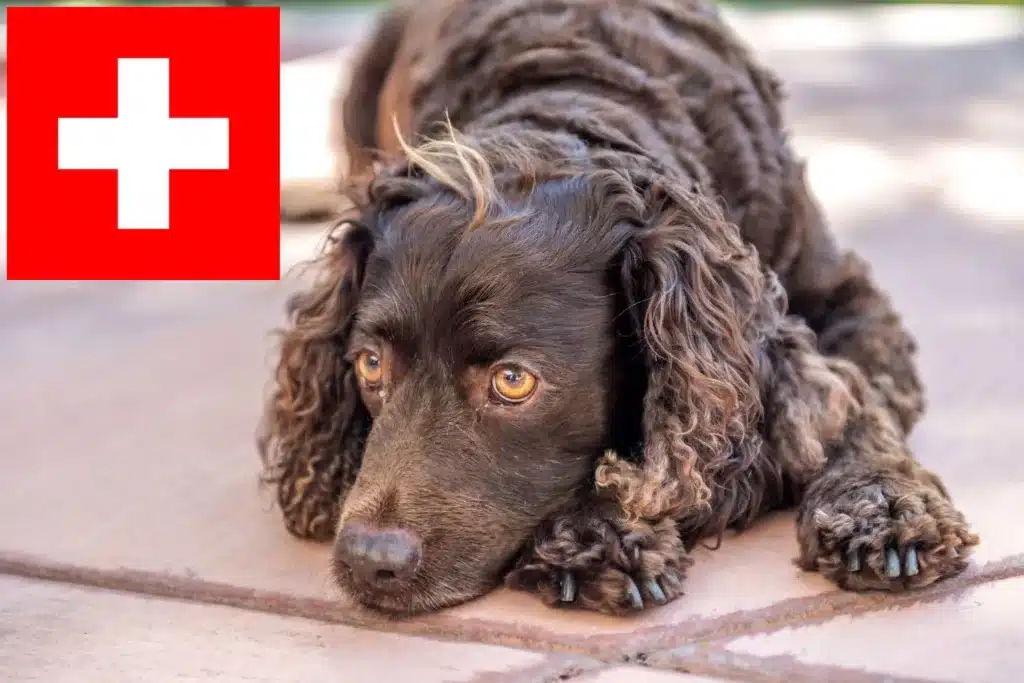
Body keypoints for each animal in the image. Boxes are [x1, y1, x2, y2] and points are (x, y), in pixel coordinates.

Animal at [260, 0, 978, 618]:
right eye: (370, 364)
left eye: (513, 380)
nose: (367, 560)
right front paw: (598, 532)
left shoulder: (849, 303)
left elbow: (858, 404)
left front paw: (883, 505)